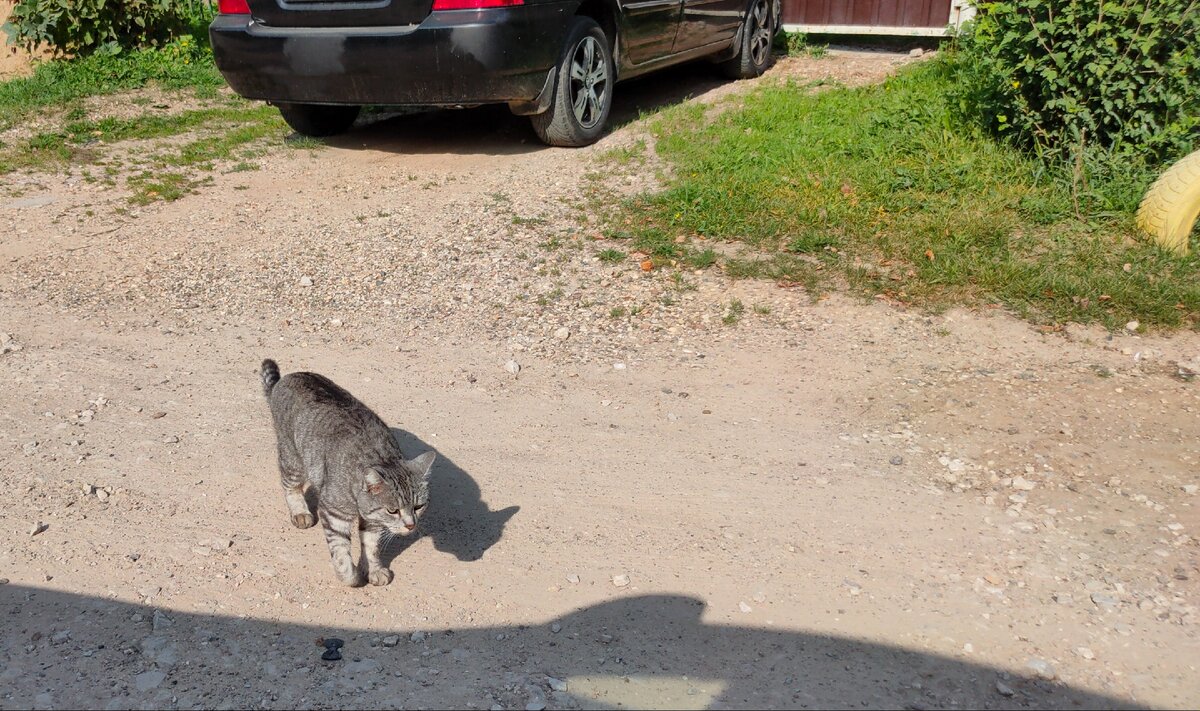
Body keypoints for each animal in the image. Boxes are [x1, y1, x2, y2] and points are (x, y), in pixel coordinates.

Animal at [258, 357, 436, 586]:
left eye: (418, 506)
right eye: (393, 510)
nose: (411, 526)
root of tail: (289, 376)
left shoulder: (372, 522)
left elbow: (371, 547)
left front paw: (374, 570)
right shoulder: (333, 514)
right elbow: (341, 553)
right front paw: (351, 577)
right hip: (293, 459)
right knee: (290, 485)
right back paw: (300, 511)